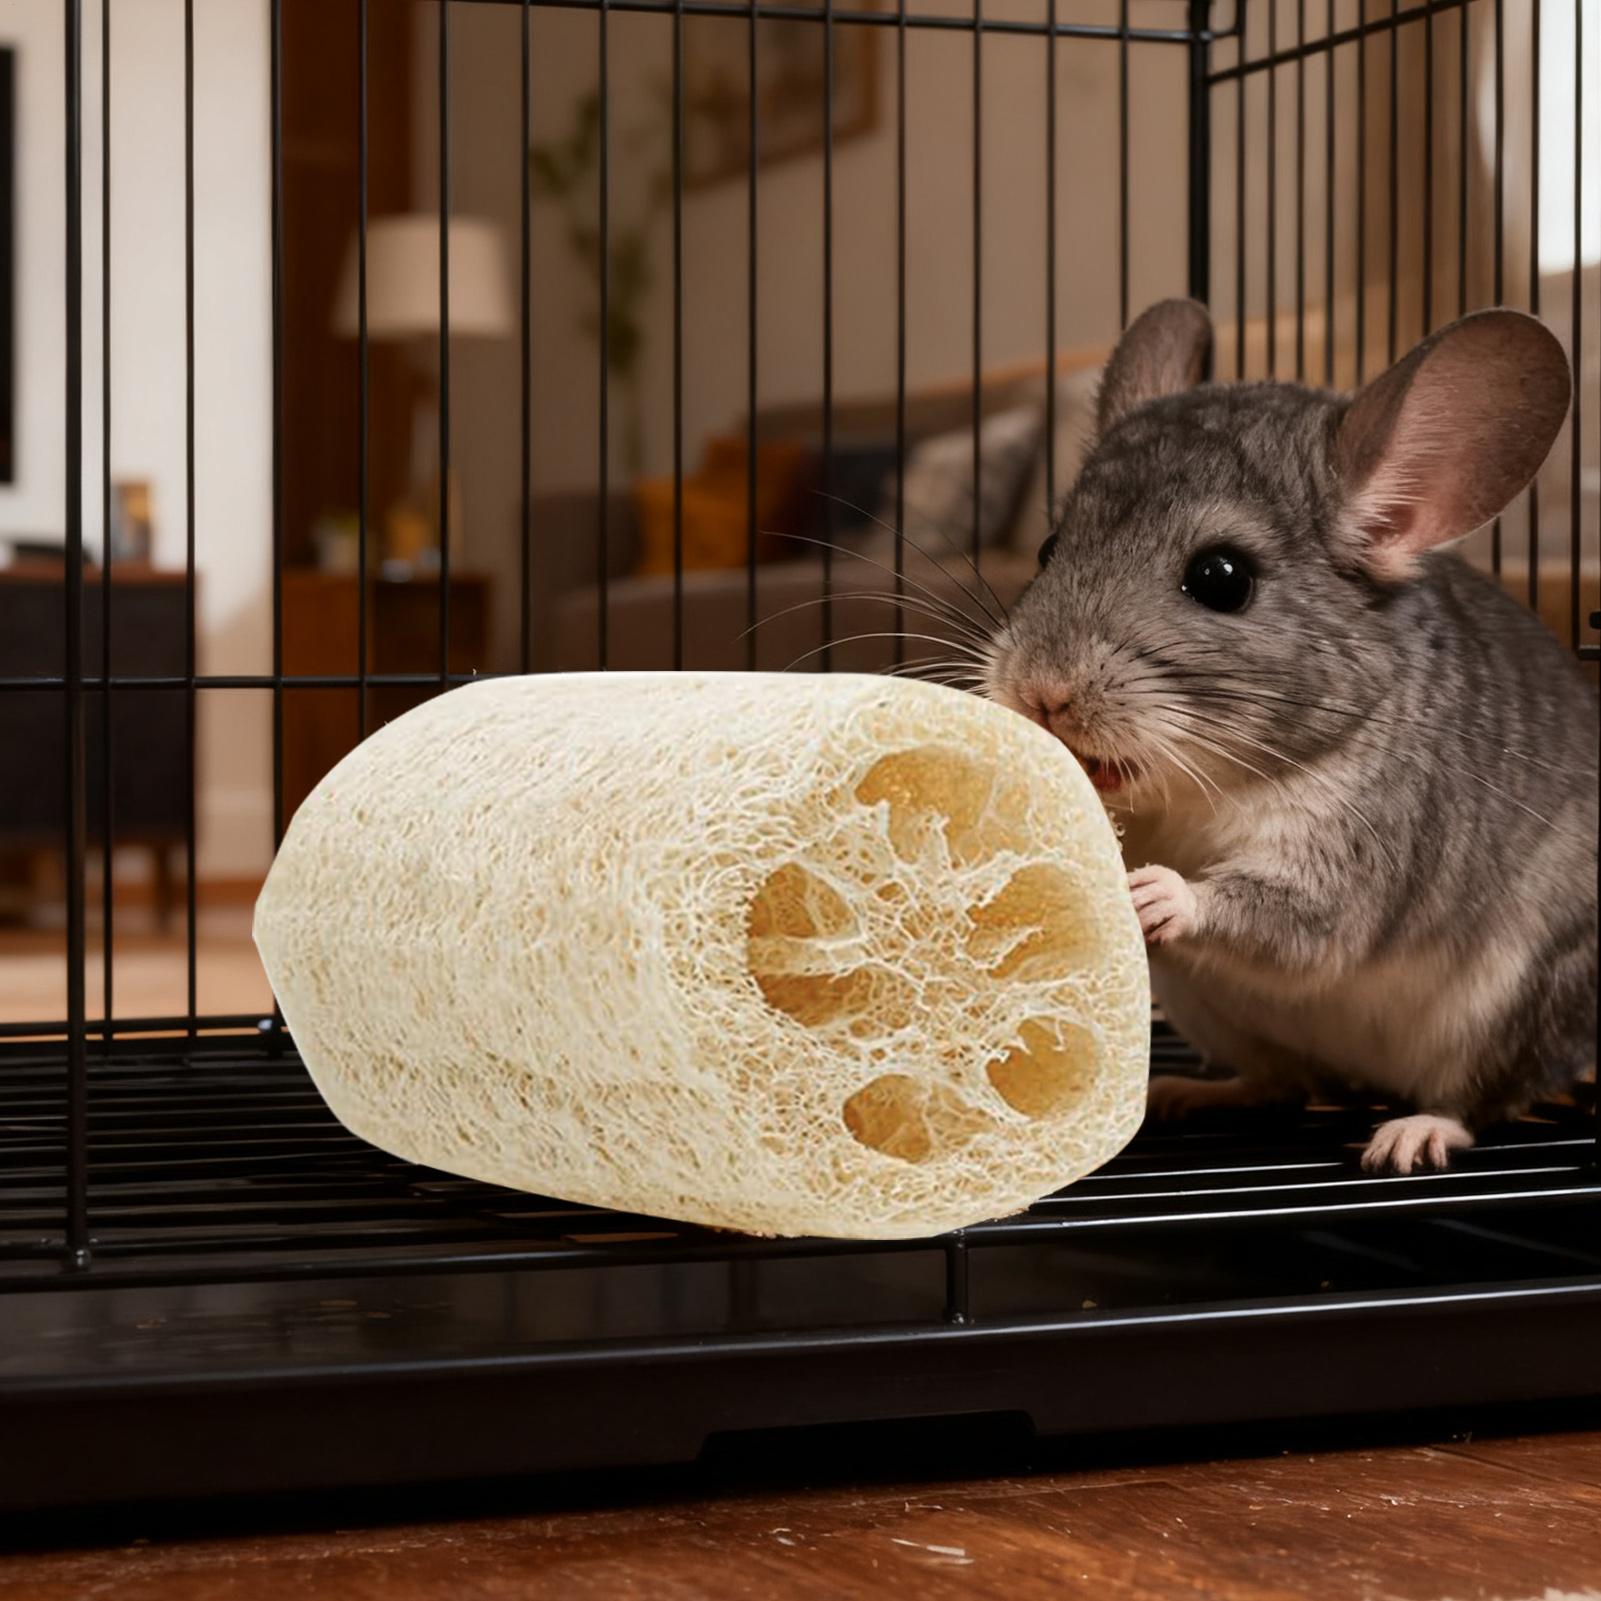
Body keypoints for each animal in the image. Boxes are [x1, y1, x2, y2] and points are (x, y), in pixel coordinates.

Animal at [984, 299, 1596, 1174]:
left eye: (1220, 577)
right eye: (1046, 548)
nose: (1042, 693)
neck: (1202, 788)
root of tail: (1364, 1080)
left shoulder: (1360, 847)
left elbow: (1301, 926)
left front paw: (1157, 892)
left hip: (1515, 1002)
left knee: (1478, 1099)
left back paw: (1411, 1134)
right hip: (1208, 1004)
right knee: (1284, 1084)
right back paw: (1189, 1091)